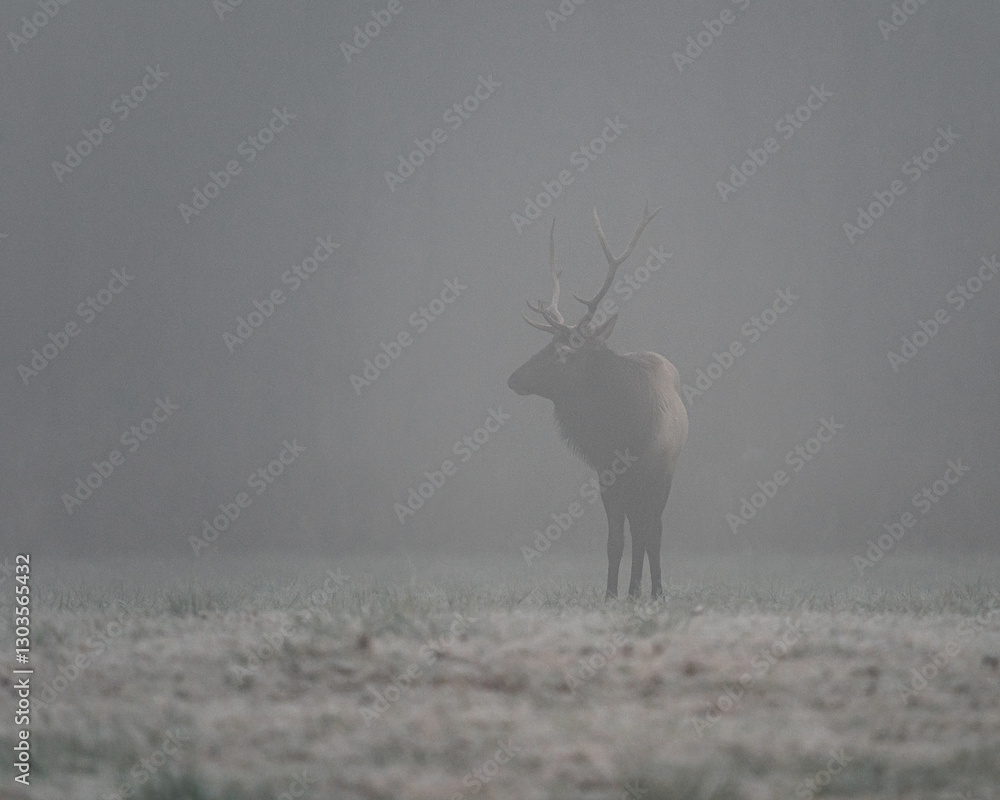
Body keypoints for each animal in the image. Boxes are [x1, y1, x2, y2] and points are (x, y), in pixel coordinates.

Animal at [507, 203, 688, 599]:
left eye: (562, 352)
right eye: (546, 344)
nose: (513, 378)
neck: (622, 435)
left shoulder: (657, 473)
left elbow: (652, 536)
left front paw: (655, 592)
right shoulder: (607, 476)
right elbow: (615, 540)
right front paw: (611, 594)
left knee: (649, 531)